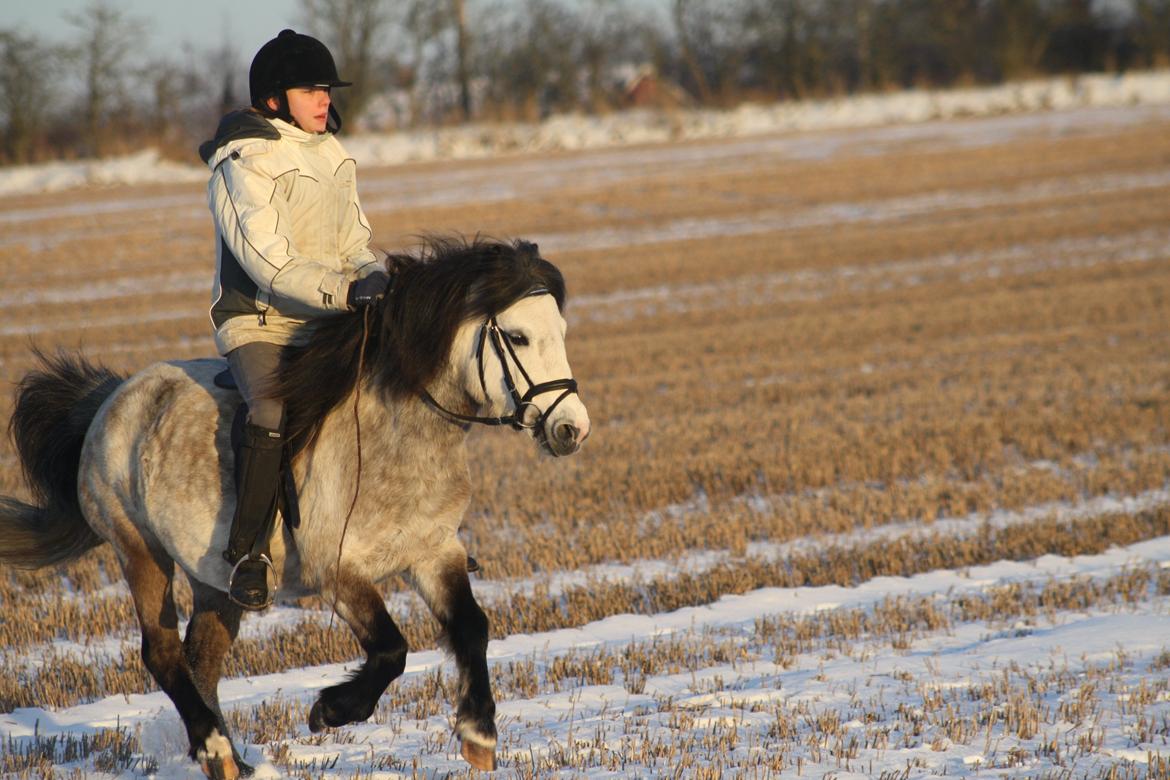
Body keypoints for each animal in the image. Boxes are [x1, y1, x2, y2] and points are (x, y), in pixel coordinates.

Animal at [0, 239, 585, 780]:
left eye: (560, 330)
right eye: (517, 336)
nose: (570, 429)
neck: (401, 435)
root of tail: (113, 399)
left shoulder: (434, 553)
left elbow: (471, 627)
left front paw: (478, 733)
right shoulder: (338, 570)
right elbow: (391, 649)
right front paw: (331, 709)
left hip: (215, 580)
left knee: (201, 658)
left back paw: (231, 760)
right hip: (139, 551)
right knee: (162, 653)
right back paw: (213, 745)